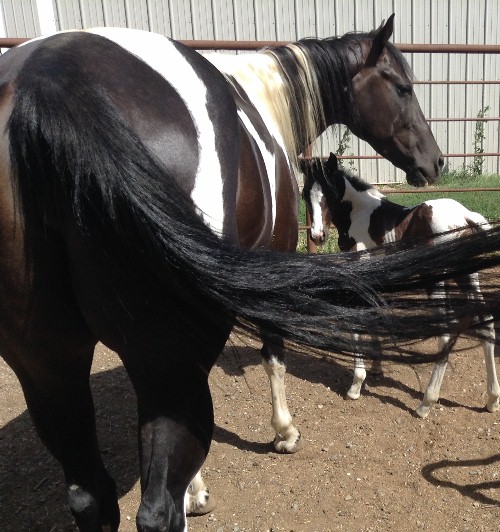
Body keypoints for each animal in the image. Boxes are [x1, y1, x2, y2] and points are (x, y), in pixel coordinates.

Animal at [301, 153, 499, 418]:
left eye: (330, 193)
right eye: (305, 194)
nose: (317, 236)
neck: (360, 212)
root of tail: (465, 216)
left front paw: (356, 385)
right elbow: (376, 314)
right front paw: (376, 367)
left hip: (437, 279)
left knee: (446, 333)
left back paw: (425, 403)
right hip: (467, 276)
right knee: (486, 323)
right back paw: (492, 399)